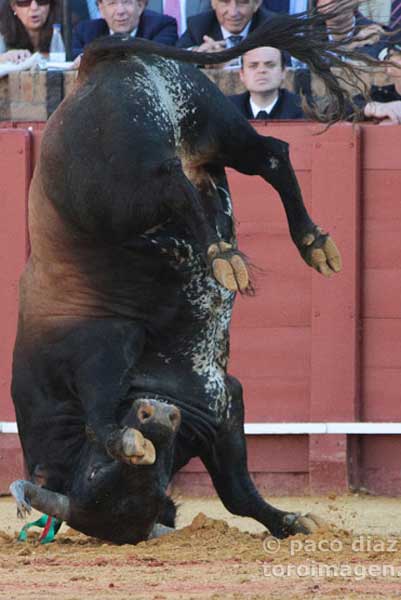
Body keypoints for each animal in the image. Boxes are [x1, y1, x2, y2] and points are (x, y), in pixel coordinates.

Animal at [9, 10, 370, 544]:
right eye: (99, 480)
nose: (154, 417)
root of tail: (94, 66)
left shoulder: (95, 348)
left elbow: (99, 409)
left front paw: (125, 438)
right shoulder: (225, 406)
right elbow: (238, 493)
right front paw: (291, 521)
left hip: (123, 190)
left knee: (176, 188)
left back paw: (225, 254)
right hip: (212, 124)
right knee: (270, 155)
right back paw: (311, 242)